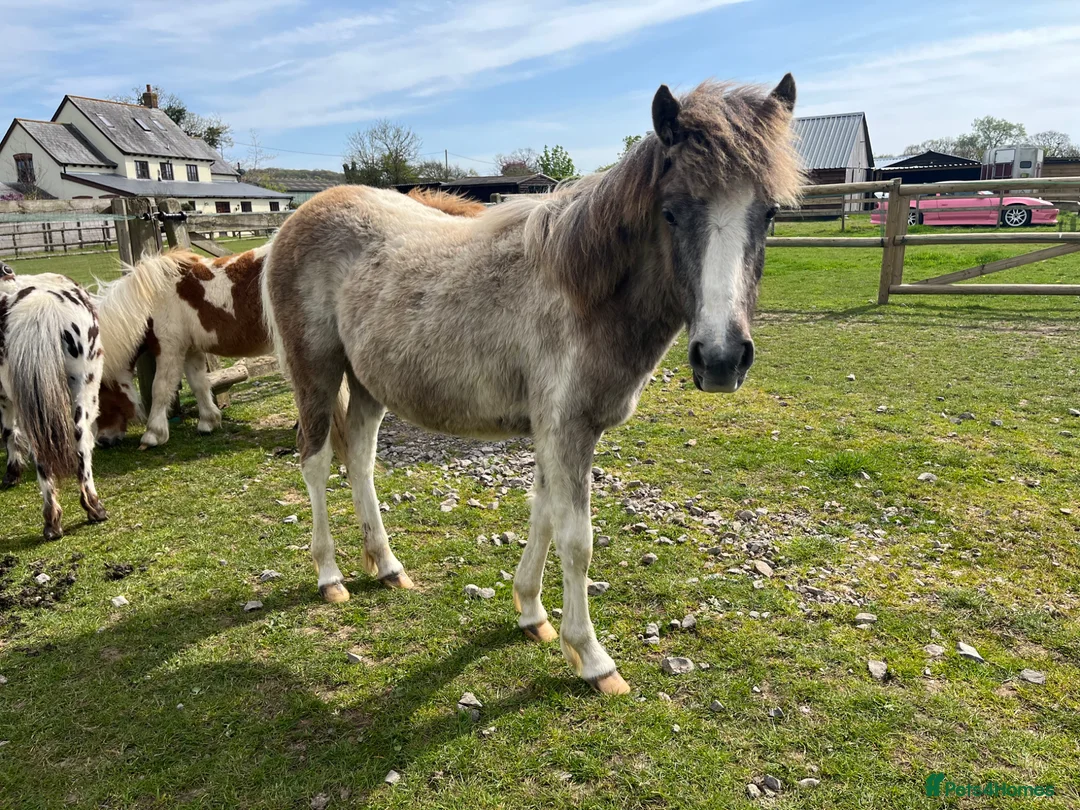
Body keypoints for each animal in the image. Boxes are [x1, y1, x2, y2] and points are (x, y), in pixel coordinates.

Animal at [0, 271, 108, 539]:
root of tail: (40, 308)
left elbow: (8, 432)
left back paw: (54, 518)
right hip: (85, 388)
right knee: (80, 441)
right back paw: (91, 508)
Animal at [93, 189, 486, 448]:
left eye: (98, 402)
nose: (105, 441)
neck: (155, 293)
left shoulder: (170, 346)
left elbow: (161, 388)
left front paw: (152, 435)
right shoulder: (189, 348)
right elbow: (200, 383)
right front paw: (208, 421)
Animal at [261, 76, 803, 694]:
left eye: (770, 213)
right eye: (670, 212)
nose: (720, 359)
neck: (582, 292)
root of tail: (295, 221)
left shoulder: (555, 429)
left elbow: (542, 512)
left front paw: (531, 613)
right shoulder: (566, 428)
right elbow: (577, 540)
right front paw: (592, 658)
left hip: (370, 385)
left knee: (361, 460)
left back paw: (388, 565)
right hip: (317, 374)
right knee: (315, 461)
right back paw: (330, 576)